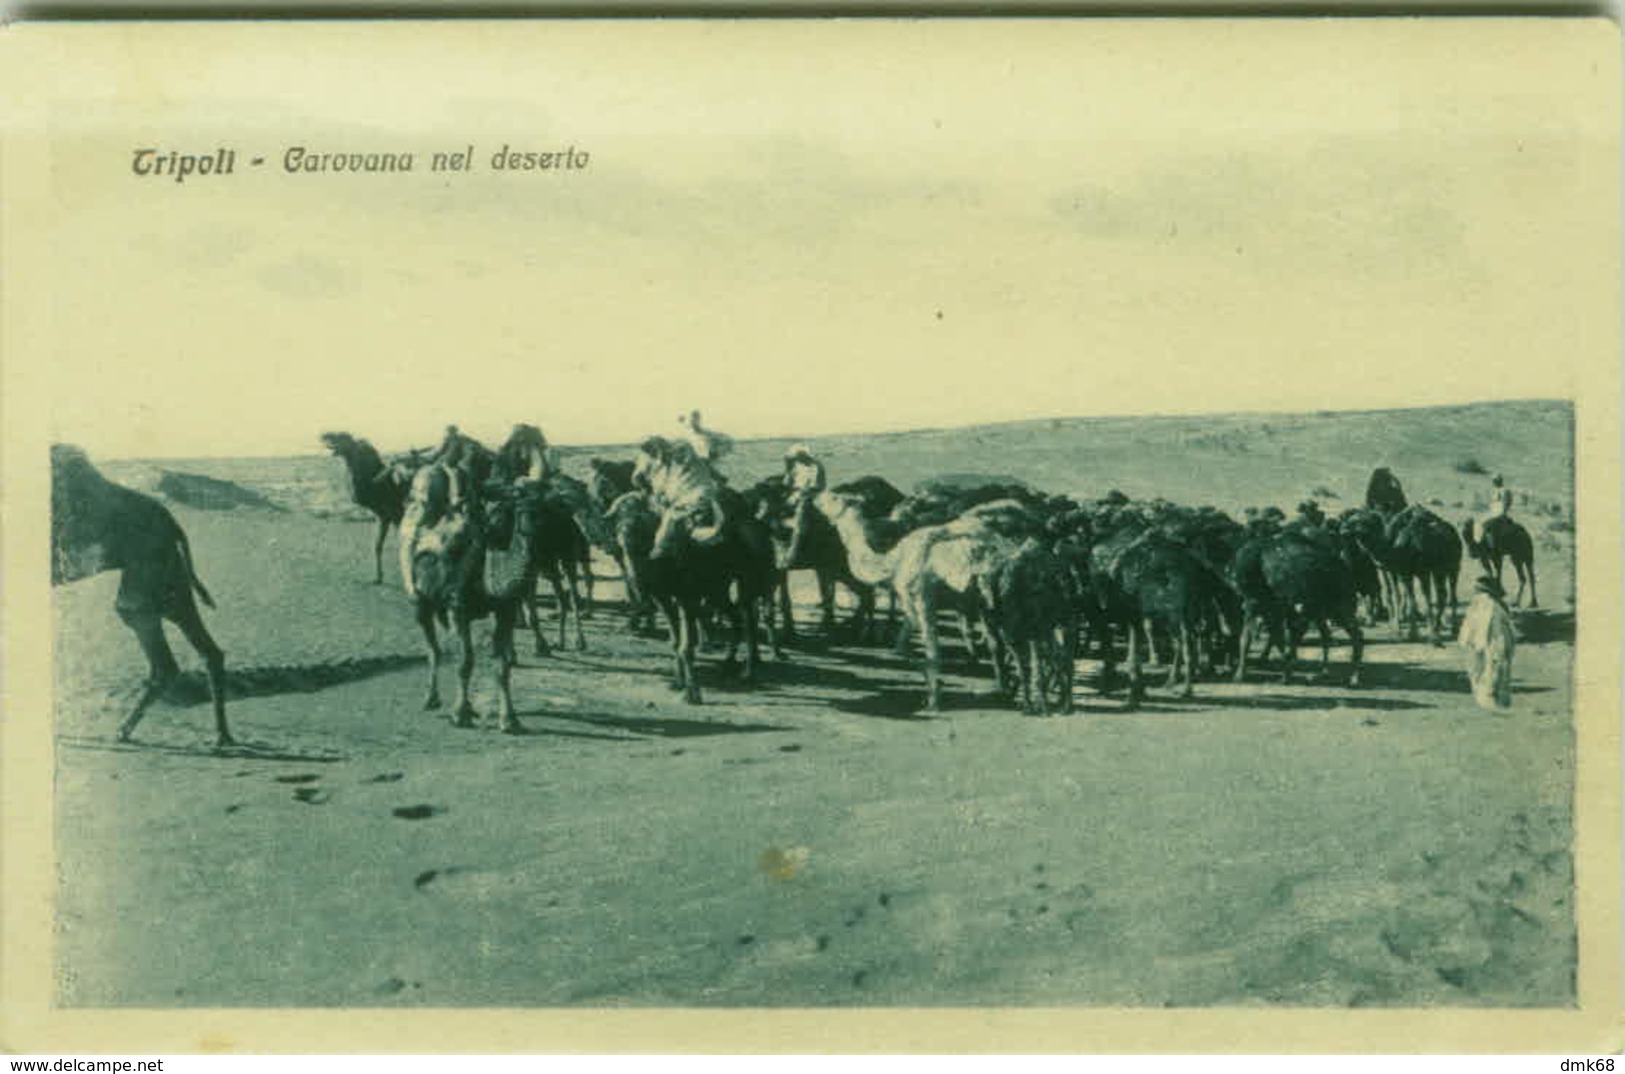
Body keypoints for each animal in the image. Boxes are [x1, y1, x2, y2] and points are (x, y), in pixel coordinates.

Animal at [51, 445, 232, 744]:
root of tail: (173, 523)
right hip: (170, 582)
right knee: (206, 651)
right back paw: (222, 736)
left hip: (145, 581)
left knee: (163, 659)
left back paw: (123, 731)